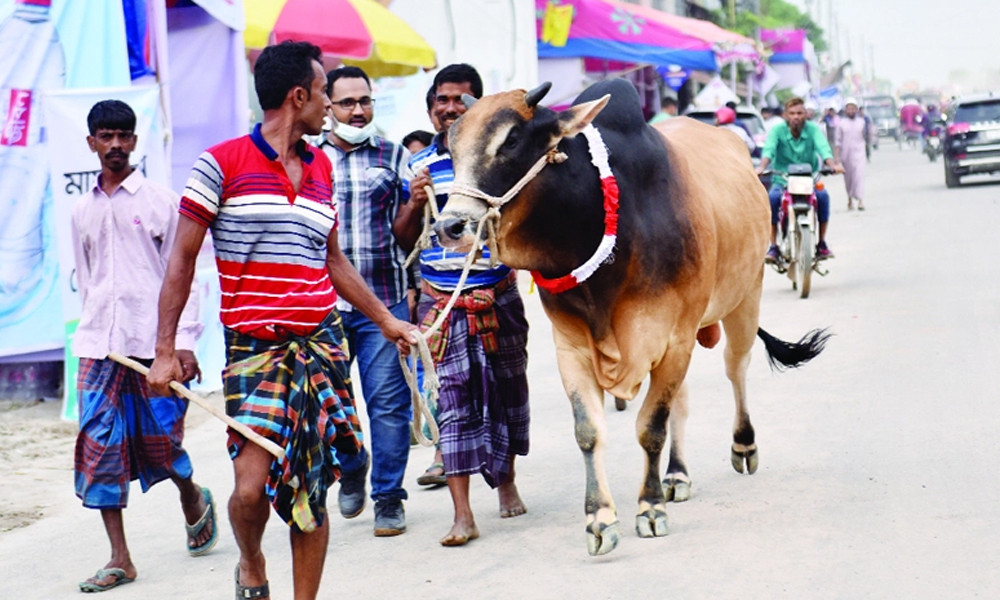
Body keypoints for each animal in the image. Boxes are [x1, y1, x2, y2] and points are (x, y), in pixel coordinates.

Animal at [438, 77, 828, 556]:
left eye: (510, 140)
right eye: (451, 143)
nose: (451, 226)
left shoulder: (674, 337)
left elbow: (650, 428)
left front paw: (650, 509)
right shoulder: (573, 346)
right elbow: (589, 430)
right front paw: (600, 520)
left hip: (743, 298)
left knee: (735, 370)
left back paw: (742, 446)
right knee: (683, 400)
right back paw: (677, 474)